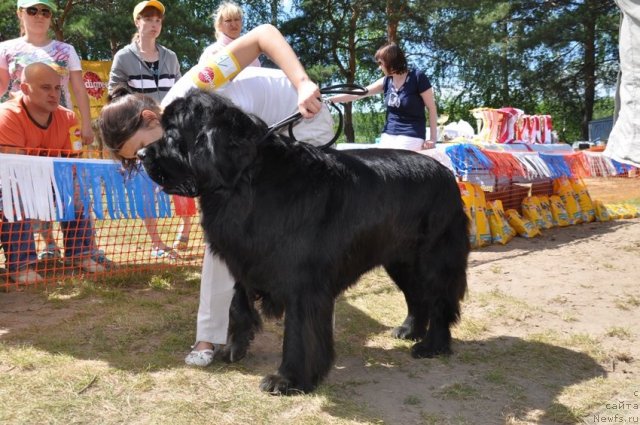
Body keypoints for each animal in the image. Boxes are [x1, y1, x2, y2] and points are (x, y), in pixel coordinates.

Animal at [139, 89, 470, 394]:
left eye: (172, 132)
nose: (141, 154)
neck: (246, 182)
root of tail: (446, 173)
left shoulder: (304, 283)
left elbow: (300, 332)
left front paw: (288, 379)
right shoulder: (244, 260)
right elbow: (237, 307)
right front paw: (234, 348)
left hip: (433, 257)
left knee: (439, 299)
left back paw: (432, 345)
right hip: (399, 259)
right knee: (416, 295)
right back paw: (409, 330)